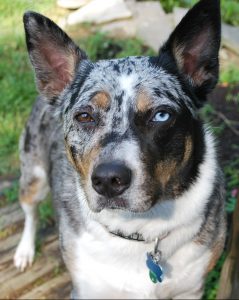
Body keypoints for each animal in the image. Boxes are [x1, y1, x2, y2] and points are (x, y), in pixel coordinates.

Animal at [13, 0, 226, 298]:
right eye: (84, 116)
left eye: (161, 115)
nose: (108, 180)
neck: (139, 228)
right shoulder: (88, 290)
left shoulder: (191, 290)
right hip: (34, 175)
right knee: (30, 211)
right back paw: (24, 251)